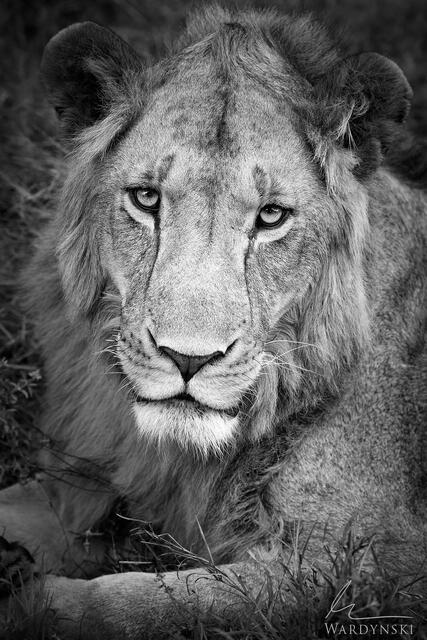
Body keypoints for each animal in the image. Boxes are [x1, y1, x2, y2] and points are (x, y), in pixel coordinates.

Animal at [0, 4, 426, 638]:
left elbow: (148, 603)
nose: (188, 358)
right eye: (146, 198)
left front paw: (34, 604)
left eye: (271, 216)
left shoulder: (363, 567)